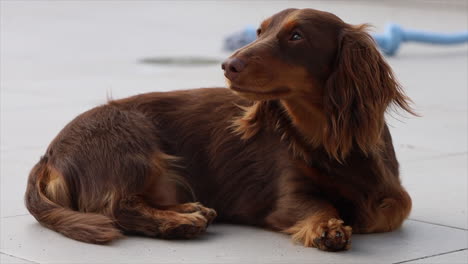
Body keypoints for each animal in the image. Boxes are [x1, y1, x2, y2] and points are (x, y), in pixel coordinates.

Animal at [24, 8, 414, 252]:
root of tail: (49, 156)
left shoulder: (392, 191)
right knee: (116, 207)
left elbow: (396, 205)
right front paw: (328, 227)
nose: (228, 65)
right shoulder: (288, 195)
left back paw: (190, 210)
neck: (325, 137)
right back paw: (181, 223)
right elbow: (318, 206)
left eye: (297, 36)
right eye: (259, 31)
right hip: (134, 142)